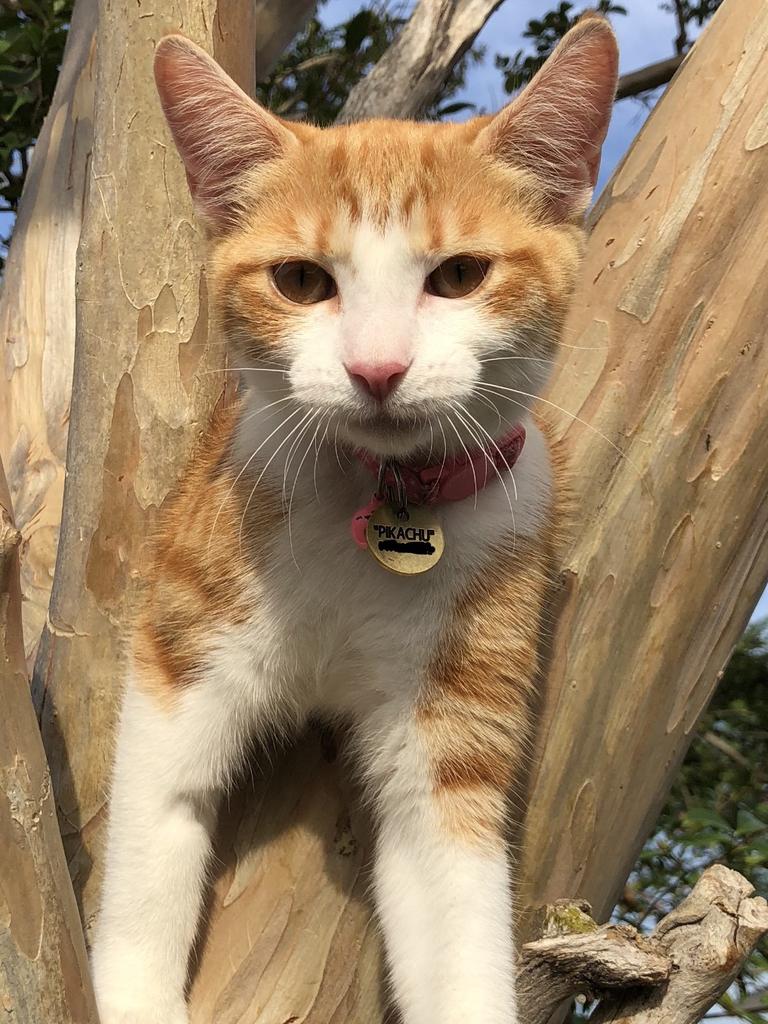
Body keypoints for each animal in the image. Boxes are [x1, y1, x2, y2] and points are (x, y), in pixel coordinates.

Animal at [91, 16, 618, 1024]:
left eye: (460, 275)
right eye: (300, 280)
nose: (378, 369)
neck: (375, 502)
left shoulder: (451, 741)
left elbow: (456, 915)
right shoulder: (179, 654)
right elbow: (155, 829)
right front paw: (135, 994)